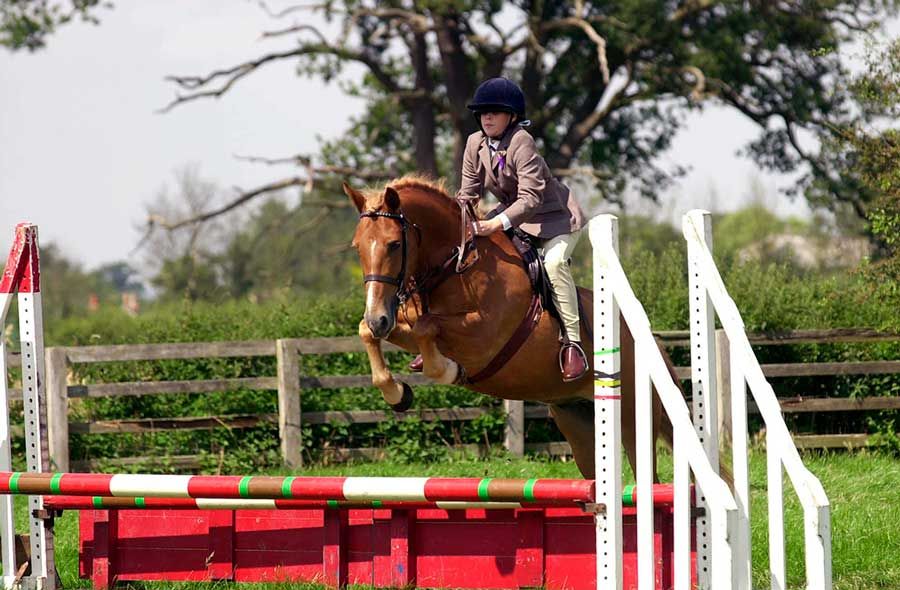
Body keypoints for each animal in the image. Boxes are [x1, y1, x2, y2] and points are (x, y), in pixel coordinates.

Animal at [342, 175, 676, 480]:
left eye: (394, 244)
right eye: (357, 247)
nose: (378, 317)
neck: (457, 267)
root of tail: (652, 342)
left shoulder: (482, 337)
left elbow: (428, 328)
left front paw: (448, 371)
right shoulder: (405, 323)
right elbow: (368, 331)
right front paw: (397, 393)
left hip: (633, 419)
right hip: (577, 421)